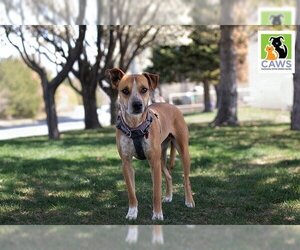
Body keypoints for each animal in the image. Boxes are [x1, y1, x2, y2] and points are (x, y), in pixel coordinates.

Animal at [105, 68, 195, 221]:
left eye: (144, 89)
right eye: (125, 91)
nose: (137, 104)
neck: (135, 126)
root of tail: (170, 105)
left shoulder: (154, 162)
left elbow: (156, 192)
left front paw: (157, 214)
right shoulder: (126, 163)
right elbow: (131, 192)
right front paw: (132, 212)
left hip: (182, 151)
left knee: (185, 178)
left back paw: (189, 201)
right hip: (161, 157)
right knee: (169, 175)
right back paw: (168, 196)